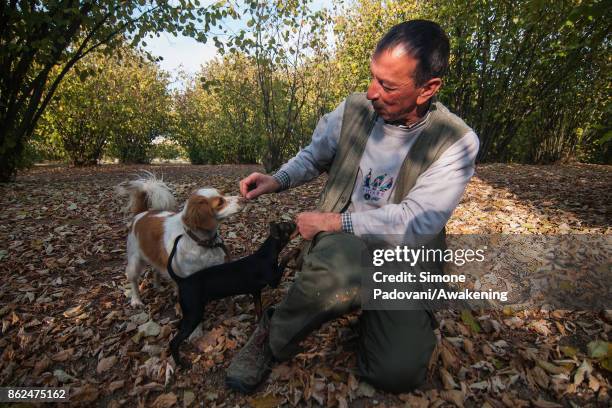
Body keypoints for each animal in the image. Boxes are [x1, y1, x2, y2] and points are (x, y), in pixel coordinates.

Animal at [116, 172, 244, 306]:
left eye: (223, 194)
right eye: (220, 203)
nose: (243, 199)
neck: (200, 242)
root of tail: (142, 213)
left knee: (156, 270)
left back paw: (158, 287)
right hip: (135, 261)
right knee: (133, 281)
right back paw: (136, 300)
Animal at [165, 222, 294, 368]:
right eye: (288, 226)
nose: (296, 223)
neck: (266, 254)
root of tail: (182, 281)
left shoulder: (256, 292)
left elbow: (259, 310)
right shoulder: (274, 281)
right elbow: (284, 260)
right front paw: (294, 251)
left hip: (189, 313)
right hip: (194, 314)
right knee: (174, 342)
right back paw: (181, 363)